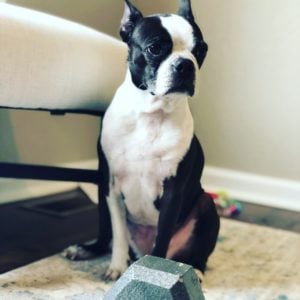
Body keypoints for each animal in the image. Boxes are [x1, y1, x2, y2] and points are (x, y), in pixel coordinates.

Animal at [66, 0, 220, 282]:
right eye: (154, 48)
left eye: (201, 50)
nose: (186, 64)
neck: (152, 113)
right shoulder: (110, 185)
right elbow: (117, 233)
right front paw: (117, 267)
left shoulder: (172, 192)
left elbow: (162, 239)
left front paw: (156, 271)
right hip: (102, 196)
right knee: (106, 235)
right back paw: (87, 249)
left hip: (206, 205)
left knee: (197, 253)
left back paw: (195, 270)